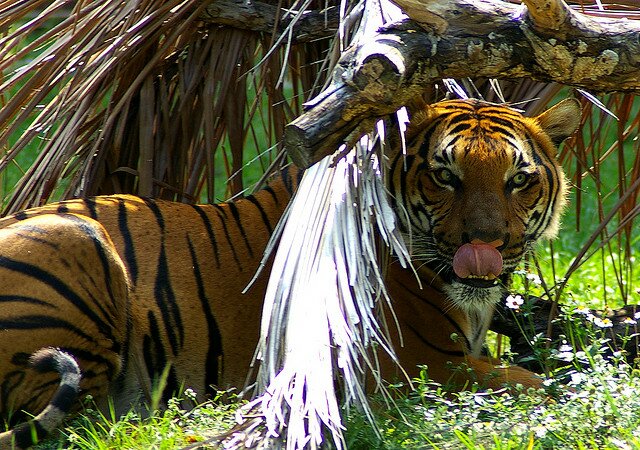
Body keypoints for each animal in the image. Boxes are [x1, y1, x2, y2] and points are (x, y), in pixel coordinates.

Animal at [0, 98, 584, 446]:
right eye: (445, 175)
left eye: (518, 179)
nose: (486, 244)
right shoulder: (422, 368)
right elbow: (542, 386)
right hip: (80, 239)